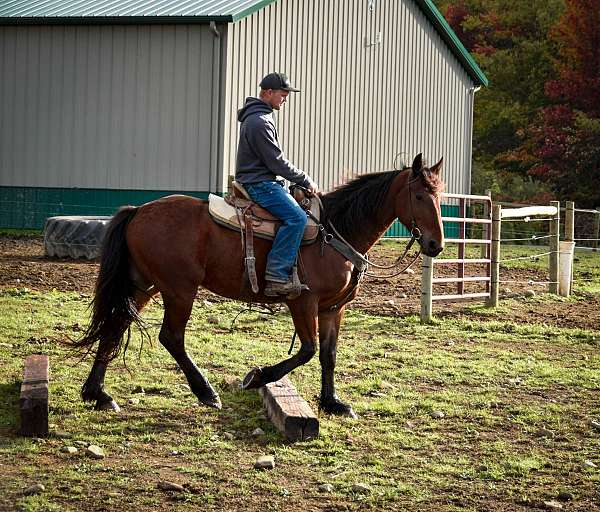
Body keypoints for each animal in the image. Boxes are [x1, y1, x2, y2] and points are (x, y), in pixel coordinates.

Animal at [75, 154, 442, 418]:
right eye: (419, 195)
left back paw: (98, 394)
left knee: (115, 325)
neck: (335, 231)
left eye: (439, 197)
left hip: (144, 284)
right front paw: (257, 377)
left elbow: (329, 355)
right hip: (179, 289)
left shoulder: (333, 308)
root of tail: (138, 210)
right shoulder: (303, 302)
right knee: (171, 337)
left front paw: (332, 402)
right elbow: (307, 350)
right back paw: (206, 392)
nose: (436, 245)